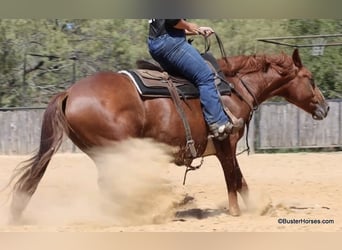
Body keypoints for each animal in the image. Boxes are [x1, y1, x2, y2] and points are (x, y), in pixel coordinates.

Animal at [8, 48, 328, 221]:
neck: (233, 87)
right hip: (116, 149)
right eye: (311, 79)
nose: (324, 107)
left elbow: (240, 178)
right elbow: (232, 177)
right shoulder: (225, 141)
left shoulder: (226, 146)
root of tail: (70, 93)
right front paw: (238, 212)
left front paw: (256, 208)